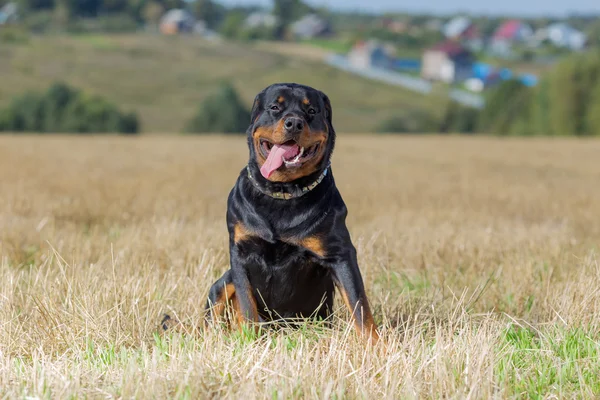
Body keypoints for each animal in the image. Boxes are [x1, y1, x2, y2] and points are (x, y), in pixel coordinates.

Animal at [163, 83, 380, 342]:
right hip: (222, 282)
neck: (282, 192)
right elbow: (247, 306)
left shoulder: (340, 254)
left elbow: (360, 307)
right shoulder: (240, 253)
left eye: (312, 111)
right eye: (275, 107)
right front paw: (249, 340)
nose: (294, 123)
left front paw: (376, 346)